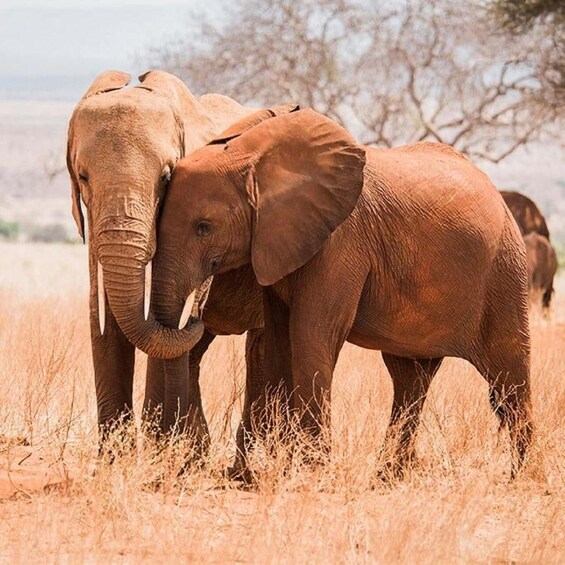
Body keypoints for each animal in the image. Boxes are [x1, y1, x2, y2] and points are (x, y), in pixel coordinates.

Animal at [132, 108, 532, 478]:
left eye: (204, 227)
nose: (195, 313)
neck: (254, 158)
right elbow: (280, 340)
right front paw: (278, 469)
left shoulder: (341, 240)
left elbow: (312, 332)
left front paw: (311, 472)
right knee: (410, 378)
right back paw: (387, 478)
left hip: (504, 272)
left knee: (508, 374)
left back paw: (520, 478)